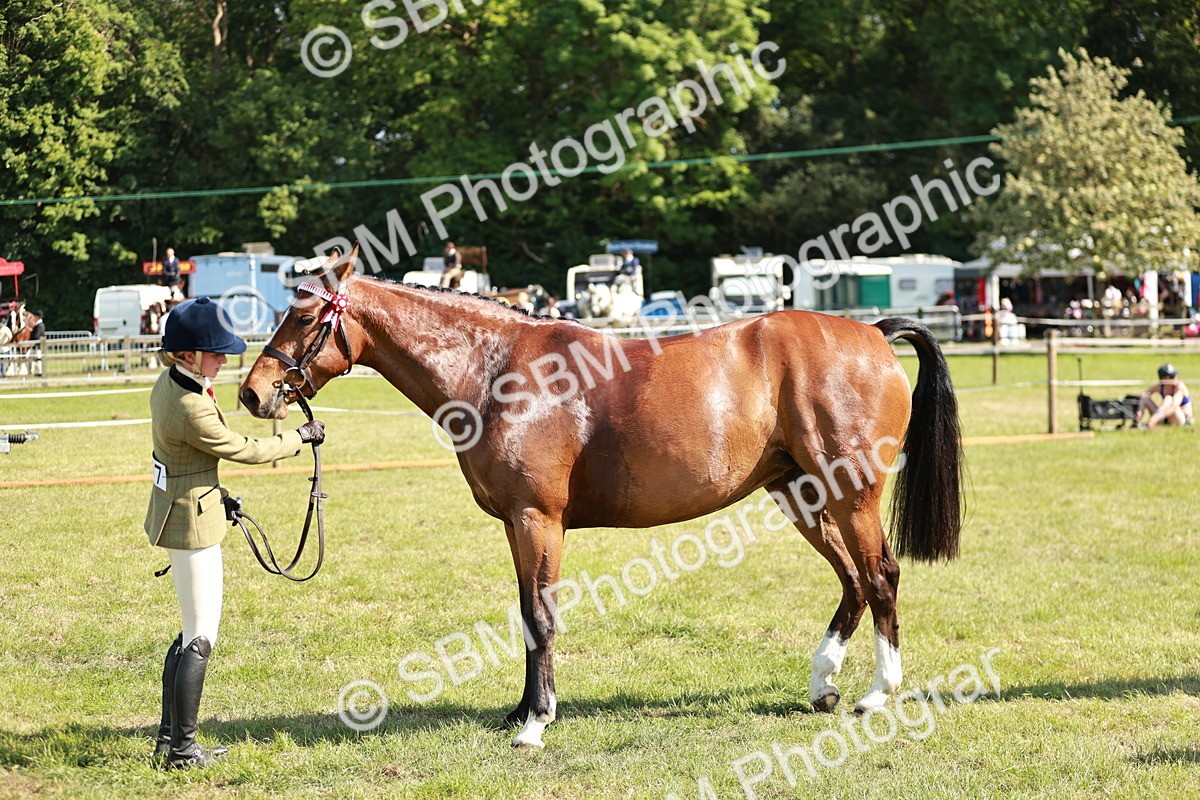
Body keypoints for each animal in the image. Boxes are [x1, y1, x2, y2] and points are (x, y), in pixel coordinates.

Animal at [239, 247, 963, 749]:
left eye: (303, 315)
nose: (252, 392)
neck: (498, 369)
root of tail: (872, 333)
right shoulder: (516, 524)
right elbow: (526, 615)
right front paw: (523, 708)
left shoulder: (538, 519)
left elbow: (541, 615)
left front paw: (535, 724)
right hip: (801, 494)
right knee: (852, 580)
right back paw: (822, 684)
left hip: (850, 493)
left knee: (880, 575)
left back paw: (877, 693)